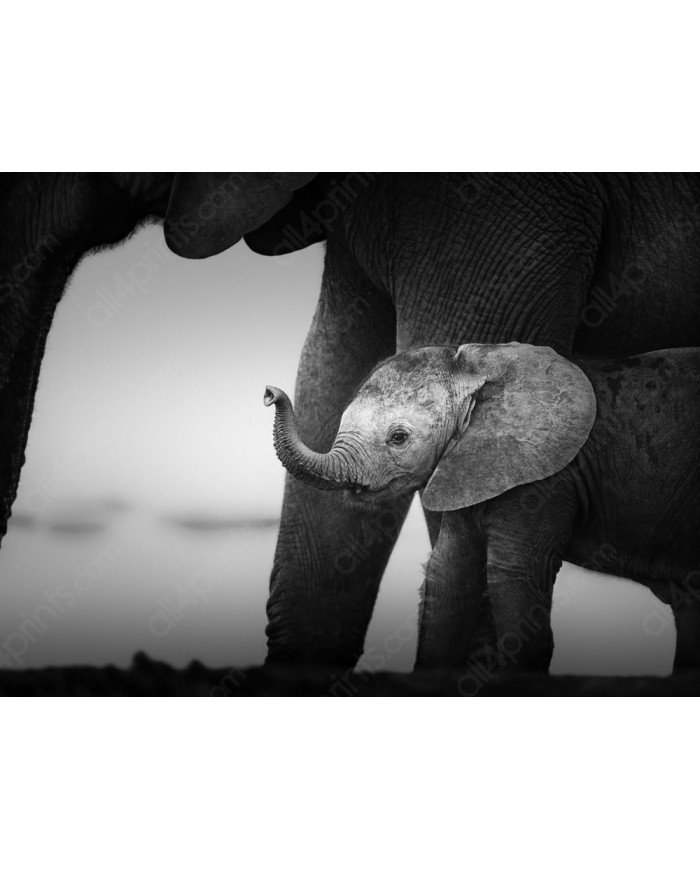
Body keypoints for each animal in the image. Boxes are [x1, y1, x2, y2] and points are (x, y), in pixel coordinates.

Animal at [264, 342, 700, 673]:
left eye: (399, 438)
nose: (269, 393)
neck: (480, 369)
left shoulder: (544, 479)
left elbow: (512, 573)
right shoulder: (469, 465)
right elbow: (448, 572)